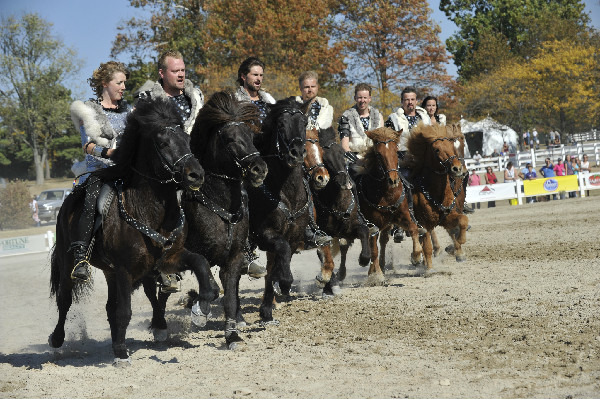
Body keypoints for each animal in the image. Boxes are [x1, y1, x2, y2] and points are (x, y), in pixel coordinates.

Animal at [49, 97, 214, 366]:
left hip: (110, 272)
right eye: (163, 142)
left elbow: (200, 263)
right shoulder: (125, 269)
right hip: (67, 260)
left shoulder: (169, 257)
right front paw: (121, 352)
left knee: (108, 306)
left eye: (187, 140)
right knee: (65, 299)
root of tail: (67, 204)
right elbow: (124, 310)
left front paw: (204, 304)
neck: (147, 210)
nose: (196, 175)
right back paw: (57, 339)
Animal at [179, 90, 266, 350]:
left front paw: (232, 335)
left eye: (250, 136)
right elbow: (210, 286)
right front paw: (198, 309)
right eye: (229, 139)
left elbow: (229, 296)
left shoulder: (234, 258)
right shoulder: (188, 255)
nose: (259, 169)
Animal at [246, 97, 310, 324]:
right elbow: (281, 255)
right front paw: (285, 281)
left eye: (304, 122)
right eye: (281, 124)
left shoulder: (293, 237)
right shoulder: (264, 234)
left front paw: (266, 309)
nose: (297, 153)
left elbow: (278, 263)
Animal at [338, 126, 422, 286]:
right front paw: (376, 276)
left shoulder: (402, 216)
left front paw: (416, 256)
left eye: (396, 150)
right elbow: (373, 249)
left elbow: (413, 228)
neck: (385, 194)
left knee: (382, 241)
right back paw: (342, 273)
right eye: (378, 154)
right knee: (346, 245)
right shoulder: (372, 224)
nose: (393, 180)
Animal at [406, 123, 472, 270]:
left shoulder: (449, 215)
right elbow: (427, 246)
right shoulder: (424, 223)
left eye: (461, 144)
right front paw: (429, 268)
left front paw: (459, 247)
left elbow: (462, 221)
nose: (458, 169)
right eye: (436, 150)